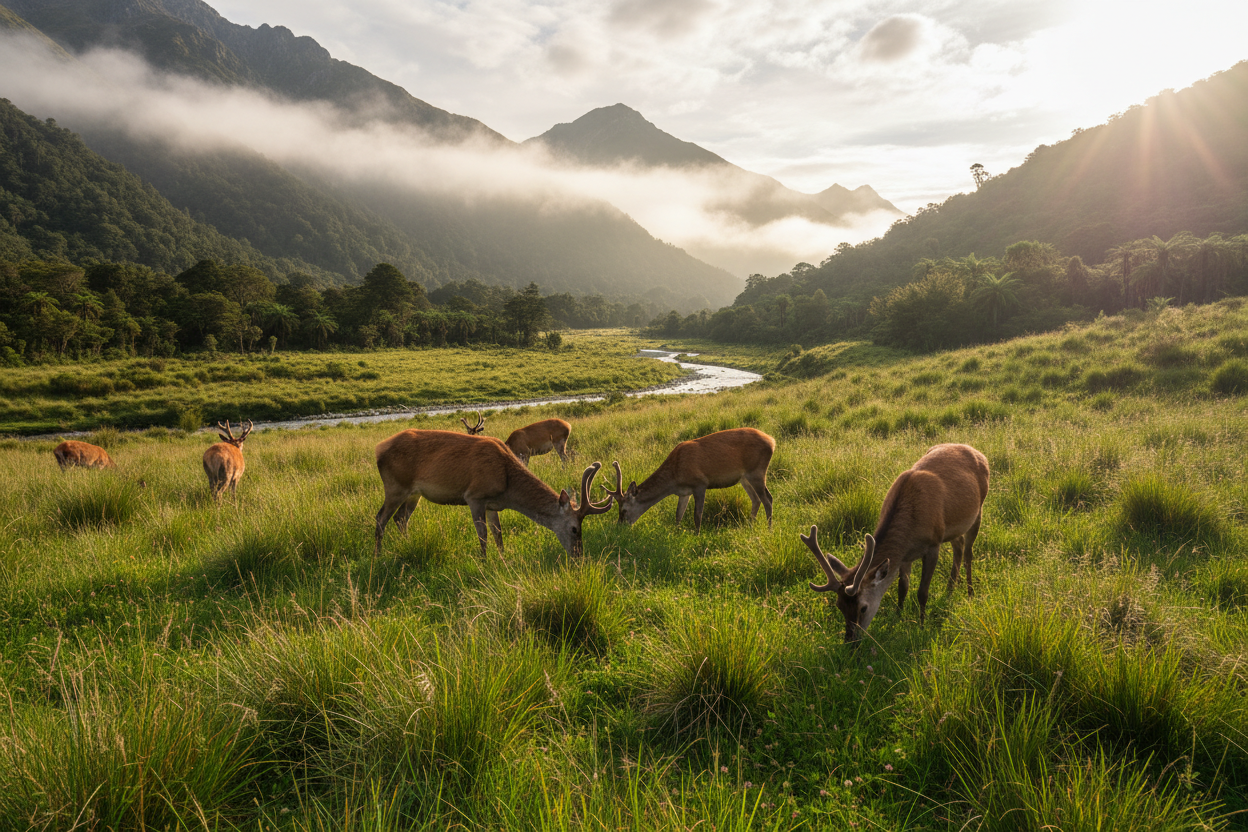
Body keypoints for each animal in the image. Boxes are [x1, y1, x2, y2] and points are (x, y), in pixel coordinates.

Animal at [373, 429, 613, 559]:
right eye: (574, 529)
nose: (578, 555)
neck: (506, 483)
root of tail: (378, 449)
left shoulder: (492, 504)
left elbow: (498, 533)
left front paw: (503, 559)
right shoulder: (474, 496)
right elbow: (483, 535)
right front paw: (484, 562)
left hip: (414, 494)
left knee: (400, 518)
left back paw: (405, 544)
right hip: (395, 485)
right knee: (380, 518)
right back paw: (378, 555)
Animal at [606, 427, 775, 532]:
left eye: (624, 510)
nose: (619, 526)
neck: (675, 477)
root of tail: (772, 441)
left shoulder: (700, 483)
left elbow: (697, 514)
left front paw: (697, 535)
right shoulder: (683, 492)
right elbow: (678, 515)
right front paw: (675, 533)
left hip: (757, 471)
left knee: (768, 499)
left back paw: (769, 529)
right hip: (744, 477)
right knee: (756, 499)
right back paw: (750, 525)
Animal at [802, 443, 989, 645]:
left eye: (863, 608)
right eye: (839, 606)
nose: (850, 643)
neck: (911, 530)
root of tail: (977, 451)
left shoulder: (934, 544)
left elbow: (922, 592)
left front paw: (921, 625)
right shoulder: (904, 556)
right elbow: (902, 588)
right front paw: (897, 617)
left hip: (978, 511)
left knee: (968, 553)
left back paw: (970, 592)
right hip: (954, 528)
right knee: (958, 545)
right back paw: (949, 591)